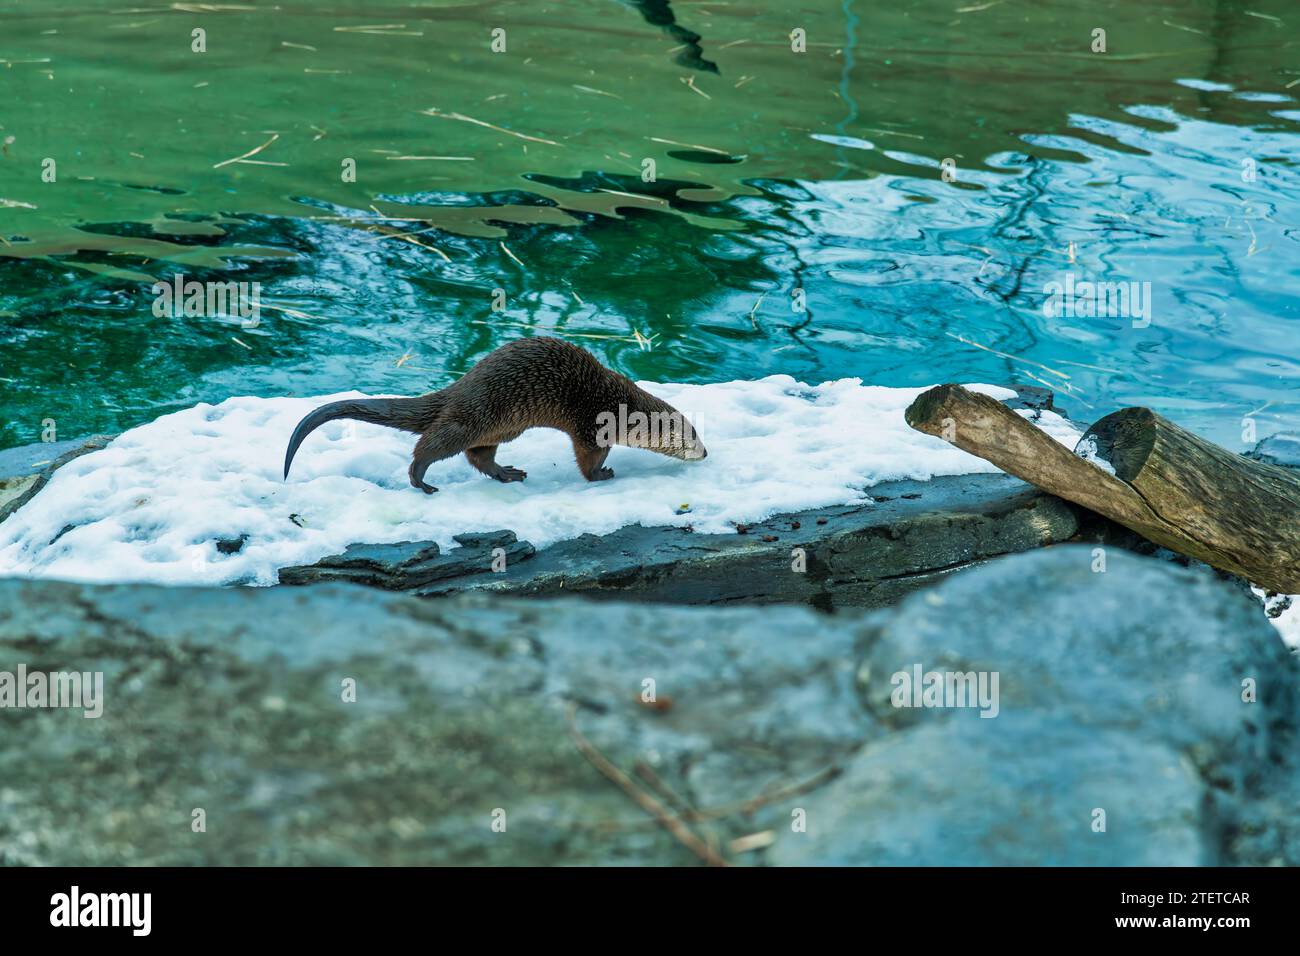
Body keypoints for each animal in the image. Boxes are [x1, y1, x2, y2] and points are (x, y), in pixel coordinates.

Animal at [283, 336, 707, 493]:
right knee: (431, 445)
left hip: (502, 427)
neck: (622, 407)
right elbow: (588, 460)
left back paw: (507, 473)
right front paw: (602, 475)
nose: (705, 454)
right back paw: (421, 481)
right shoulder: (589, 428)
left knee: (478, 455)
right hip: (475, 415)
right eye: (692, 438)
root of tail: (459, 387)